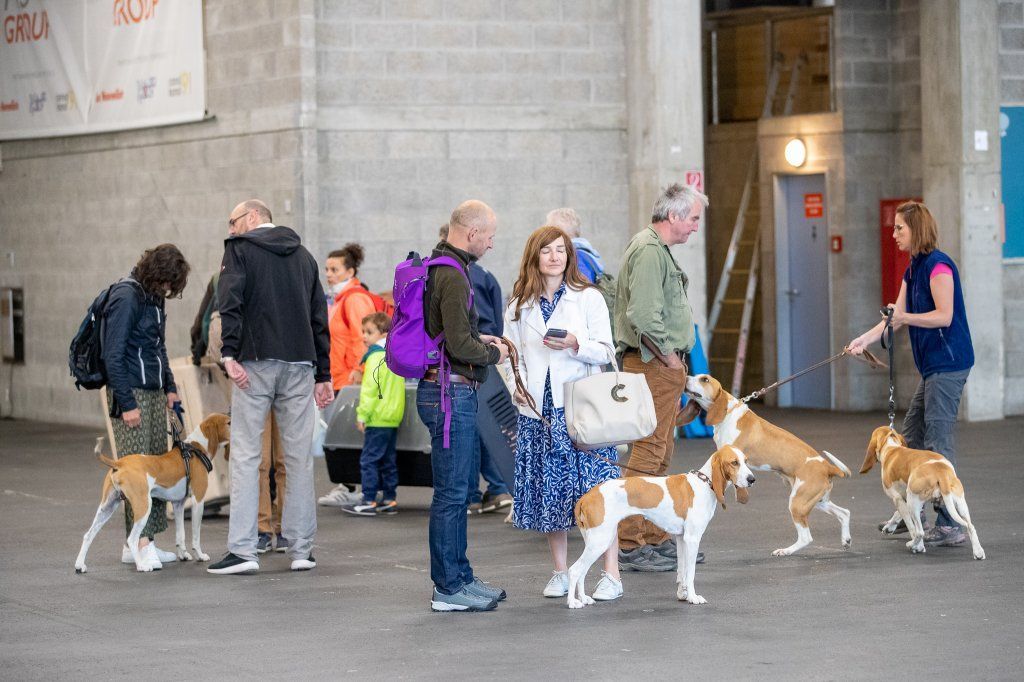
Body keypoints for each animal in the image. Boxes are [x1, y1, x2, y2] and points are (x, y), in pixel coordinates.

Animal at [74, 411, 231, 569]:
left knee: (88, 535)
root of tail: (119, 463)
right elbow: (196, 535)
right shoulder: (198, 501)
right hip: (143, 506)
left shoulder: (178, 505)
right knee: (132, 539)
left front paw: (183, 555)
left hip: (107, 508)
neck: (196, 448)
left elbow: (180, 534)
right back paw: (142, 565)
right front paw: (200, 555)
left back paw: (80, 565)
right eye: (229, 422)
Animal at [565, 444, 757, 606]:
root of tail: (587, 496)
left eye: (746, 461)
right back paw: (573, 602)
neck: (704, 482)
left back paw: (583, 598)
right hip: (600, 540)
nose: (752, 479)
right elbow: (691, 572)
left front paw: (683, 594)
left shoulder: (681, 539)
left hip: (596, 540)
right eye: (734, 462)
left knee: (582, 571)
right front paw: (693, 597)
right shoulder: (693, 539)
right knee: (574, 570)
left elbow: (682, 571)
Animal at [679, 374, 856, 557]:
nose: (686, 376)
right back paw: (846, 540)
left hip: (798, 503)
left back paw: (785, 550)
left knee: (806, 537)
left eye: (704, 379)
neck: (729, 412)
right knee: (844, 513)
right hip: (817, 500)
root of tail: (827, 466)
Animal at [864, 425, 983, 557]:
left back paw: (913, 545)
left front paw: (918, 547)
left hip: (913, 501)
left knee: (919, 532)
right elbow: (897, 514)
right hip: (959, 503)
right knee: (971, 526)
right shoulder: (903, 498)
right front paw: (889, 527)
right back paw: (978, 552)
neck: (892, 448)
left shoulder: (898, 498)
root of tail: (941, 472)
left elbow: (911, 526)